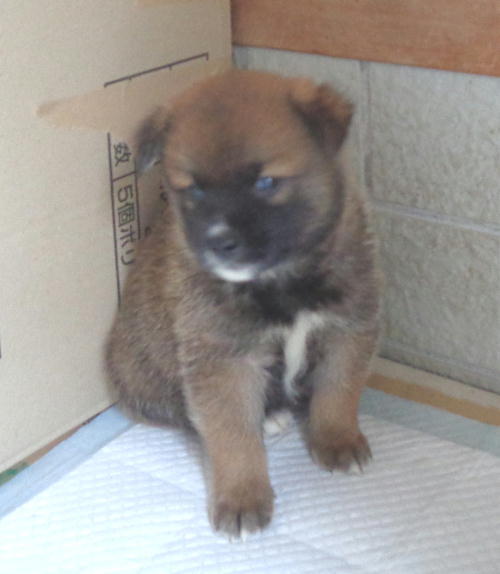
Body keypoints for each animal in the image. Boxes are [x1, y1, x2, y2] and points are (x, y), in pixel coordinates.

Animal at [106, 69, 381, 538]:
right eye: (194, 190)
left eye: (265, 182)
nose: (220, 242)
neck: (282, 279)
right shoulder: (223, 361)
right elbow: (232, 435)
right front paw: (242, 497)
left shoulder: (347, 328)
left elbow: (338, 392)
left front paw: (338, 441)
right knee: (187, 415)